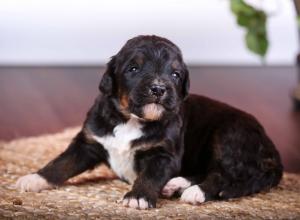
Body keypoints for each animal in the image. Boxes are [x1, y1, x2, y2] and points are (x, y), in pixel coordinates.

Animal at [17, 35, 284, 209]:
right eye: (133, 68)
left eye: (175, 74)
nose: (158, 88)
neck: (131, 119)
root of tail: (272, 150)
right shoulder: (89, 142)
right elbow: (62, 162)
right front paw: (34, 179)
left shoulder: (163, 154)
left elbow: (150, 175)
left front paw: (138, 197)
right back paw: (176, 185)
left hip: (228, 134)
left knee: (222, 174)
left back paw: (195, 192)